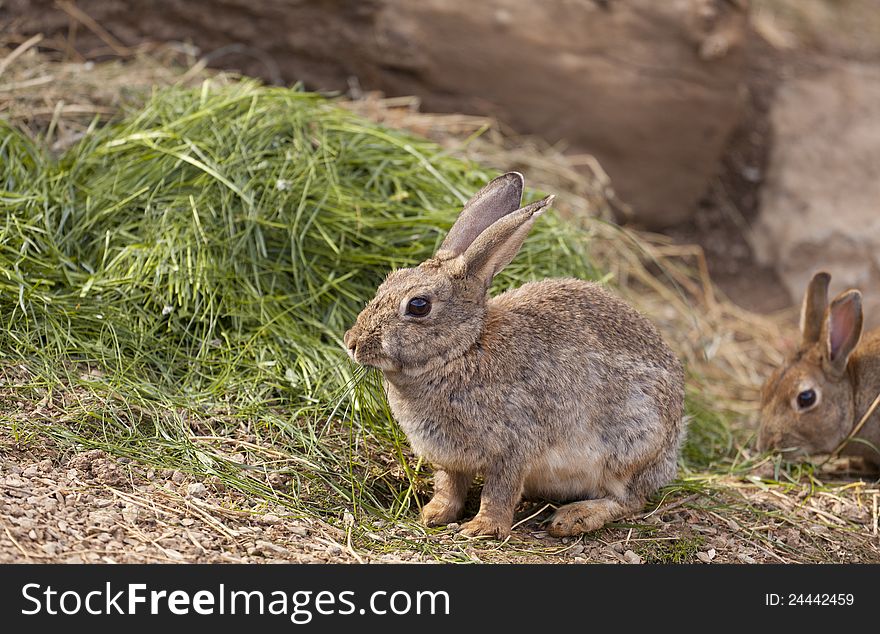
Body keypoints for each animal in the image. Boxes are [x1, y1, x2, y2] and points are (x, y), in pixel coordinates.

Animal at [344, 170, 688, 536]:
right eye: (388, 282)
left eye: (419, 305)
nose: (352, 342)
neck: (463, 350)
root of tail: (672, 441)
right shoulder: (451, 460)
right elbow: (449, 486)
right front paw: (433, 514)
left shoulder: (513, 447)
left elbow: (500, 490)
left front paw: (482, 527)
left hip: (630, 446)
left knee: (629, 500)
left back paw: (573, 518)